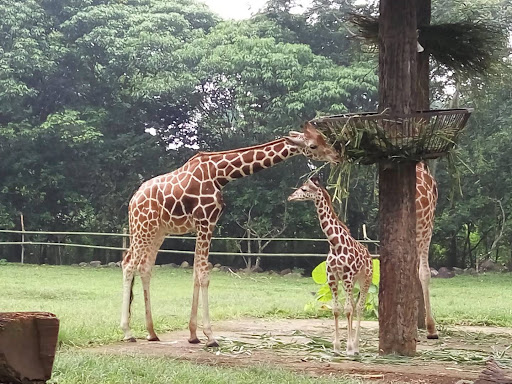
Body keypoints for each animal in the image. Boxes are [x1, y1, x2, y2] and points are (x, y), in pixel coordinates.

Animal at [121, 123, 340, 344]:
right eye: (313, 146)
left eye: (323, 138)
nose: (336, 156)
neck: (220, 174)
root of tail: (132, 201)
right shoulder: (206, 221)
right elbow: (203, 274)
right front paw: (210, 336)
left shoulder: (205, 224)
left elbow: (196, 273)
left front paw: (193, 335)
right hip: (143, 227)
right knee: (128, 264)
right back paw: (128, 332)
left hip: (158, 231)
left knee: (145, 267)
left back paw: (151, 332)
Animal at [288, 178, 372, 356]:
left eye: (304, 189)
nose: (290, 197)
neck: (335, 243)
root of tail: (369, 254)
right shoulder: (332, 276)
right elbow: (336, 309)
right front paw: (336, 347)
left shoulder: (346, 276)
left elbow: (347, 309)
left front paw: (348, 348)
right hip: (353, 281)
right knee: (353, 305)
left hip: (365, 278)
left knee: (359, 307)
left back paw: (356, 346)